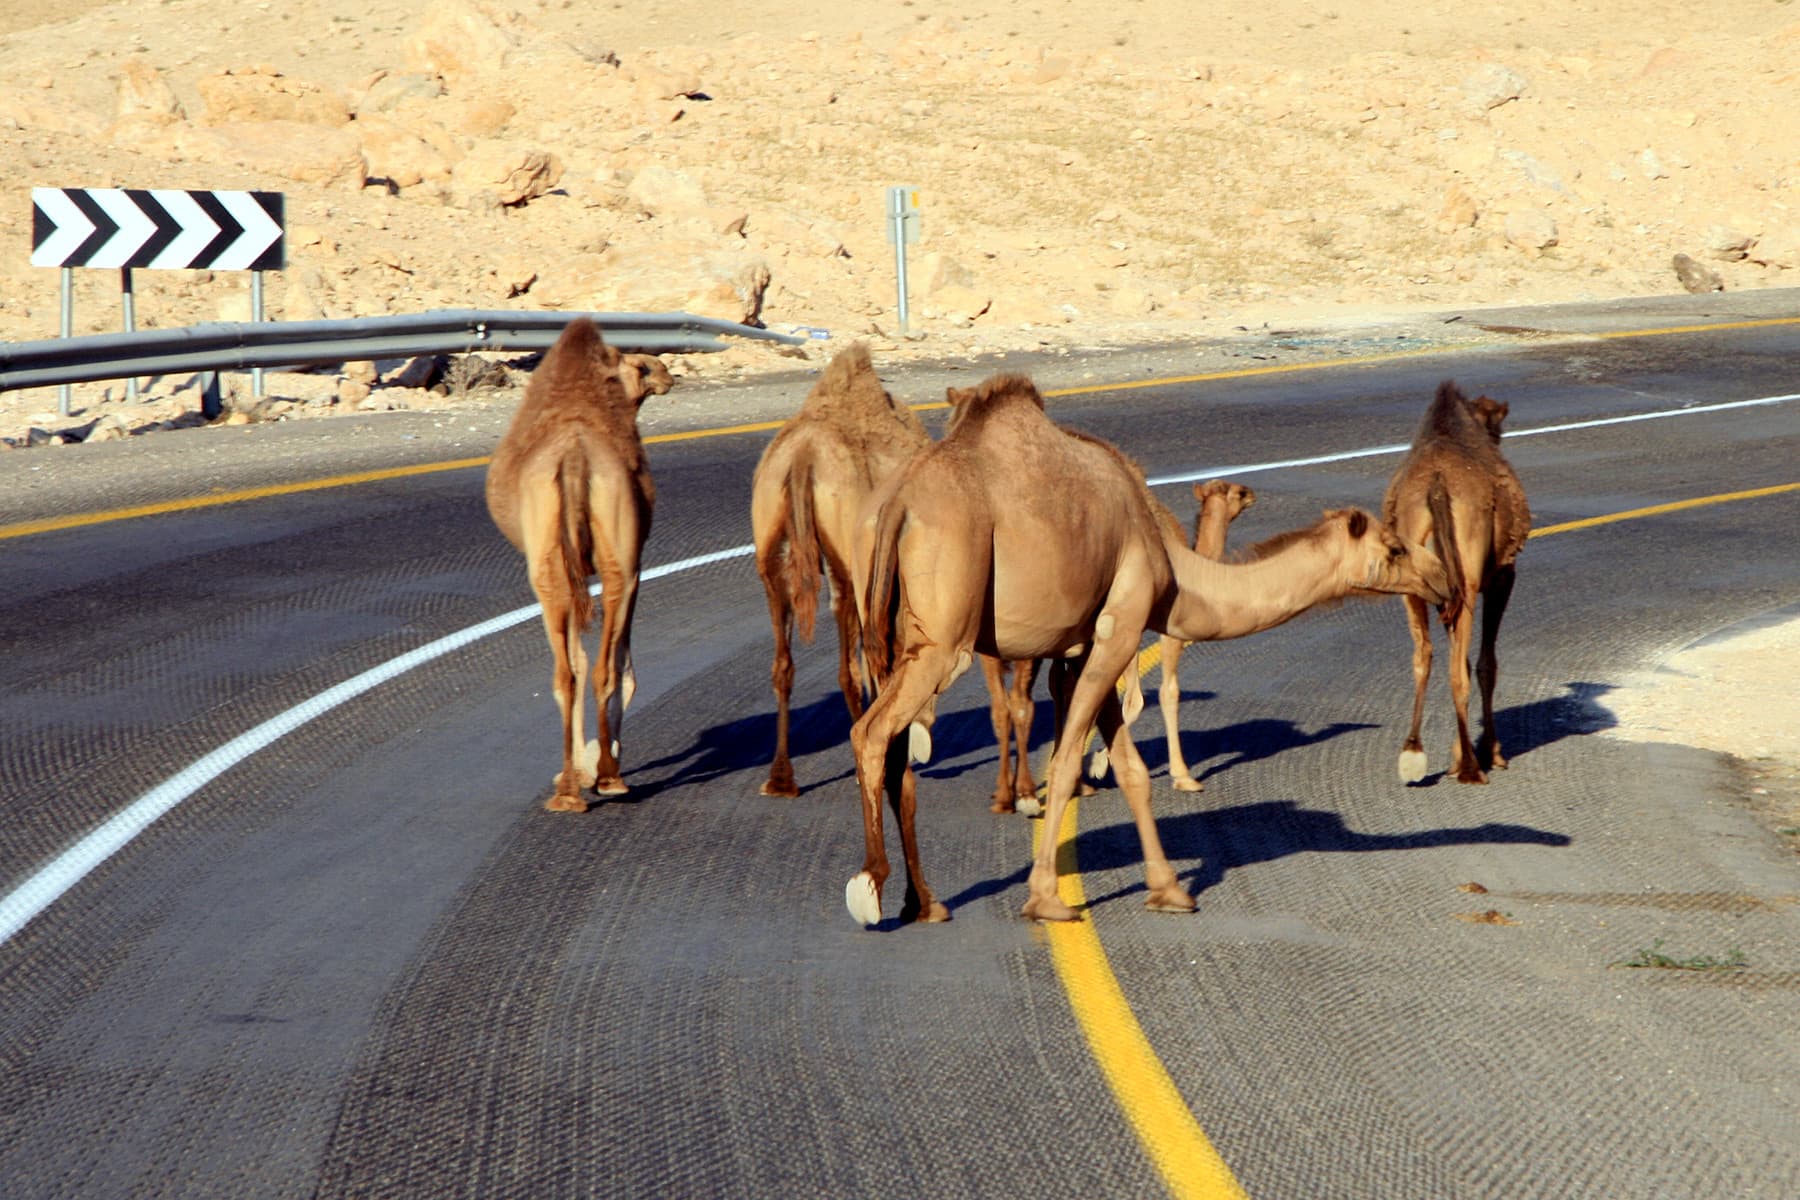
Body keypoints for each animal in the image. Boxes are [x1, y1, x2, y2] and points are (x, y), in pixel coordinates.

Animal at [484, 317, 673, 811]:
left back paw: (581, 784)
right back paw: (596, 780)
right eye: (642, 369)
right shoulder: (618, 564)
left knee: (573, 671)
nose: (666, 373)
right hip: (606, 563)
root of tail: (575, 460)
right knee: (592, 667)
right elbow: (610, 662)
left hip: (553, 570)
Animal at [749, 342, 929, 797]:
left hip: (771, 559)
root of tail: (802, 458)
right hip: (845, 562)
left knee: (783, 664)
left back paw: (781, 779)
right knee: (850, 666)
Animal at [1383, 380, 1530, 784]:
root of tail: (1435, 489)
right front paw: (1491, 752)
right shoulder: (1502, 574)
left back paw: (1413, 752)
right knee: (1458, 670)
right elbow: (1484, 664)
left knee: (1424, 655)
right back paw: (1470, 767)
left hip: (1414, 580)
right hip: (1467, 577)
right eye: (1498, 429)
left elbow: (1459, 657)